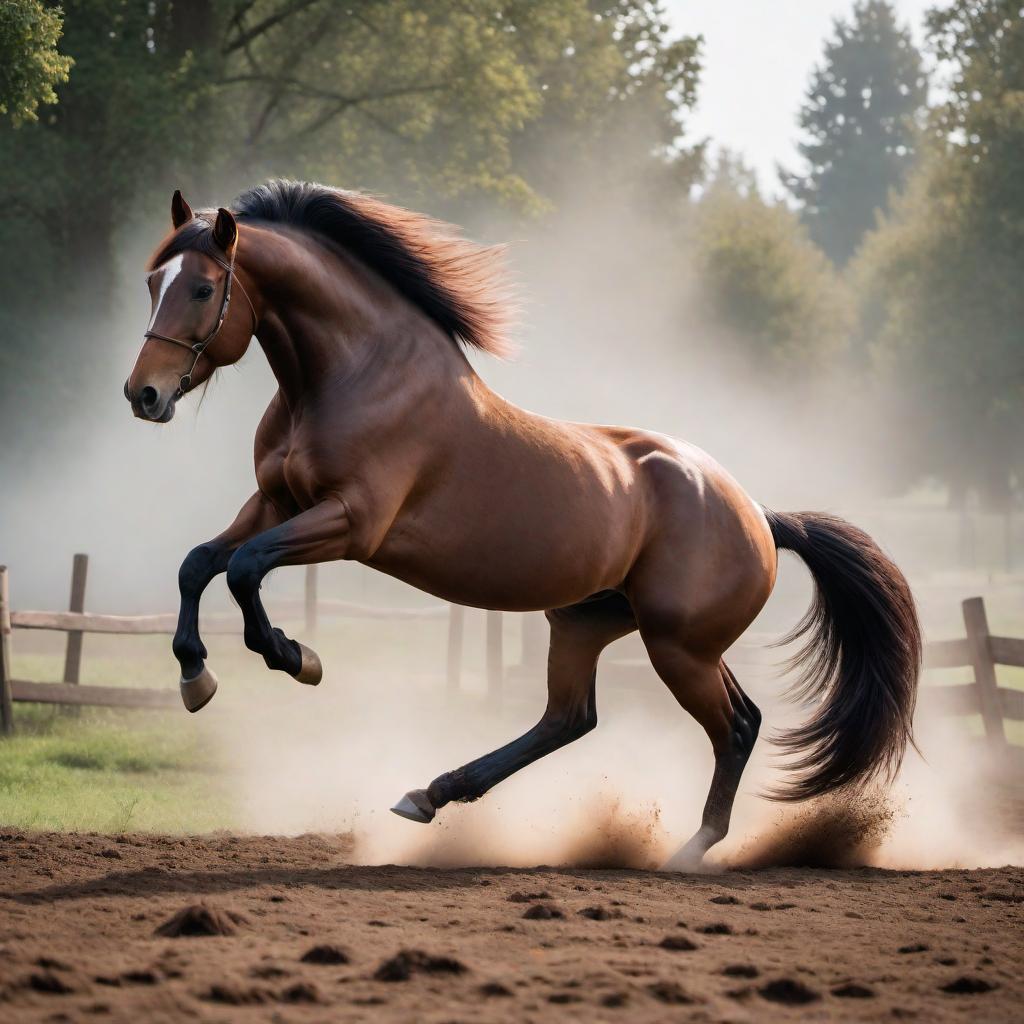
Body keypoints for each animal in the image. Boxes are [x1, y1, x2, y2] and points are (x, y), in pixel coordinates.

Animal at [121, 180, 921, 868]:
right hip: (590, 623)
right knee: (575, 719)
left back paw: (690, 852)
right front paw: (195, 675)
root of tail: (759, 514)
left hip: (678, 646)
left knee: (735, 727)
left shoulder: (351, 523)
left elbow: (245, 567)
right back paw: (430, 794)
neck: (355, 375)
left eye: (201, 287)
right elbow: (201, 562)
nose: (143, 395)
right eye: (154, 282)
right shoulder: (274, 502)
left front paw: (294, 655)